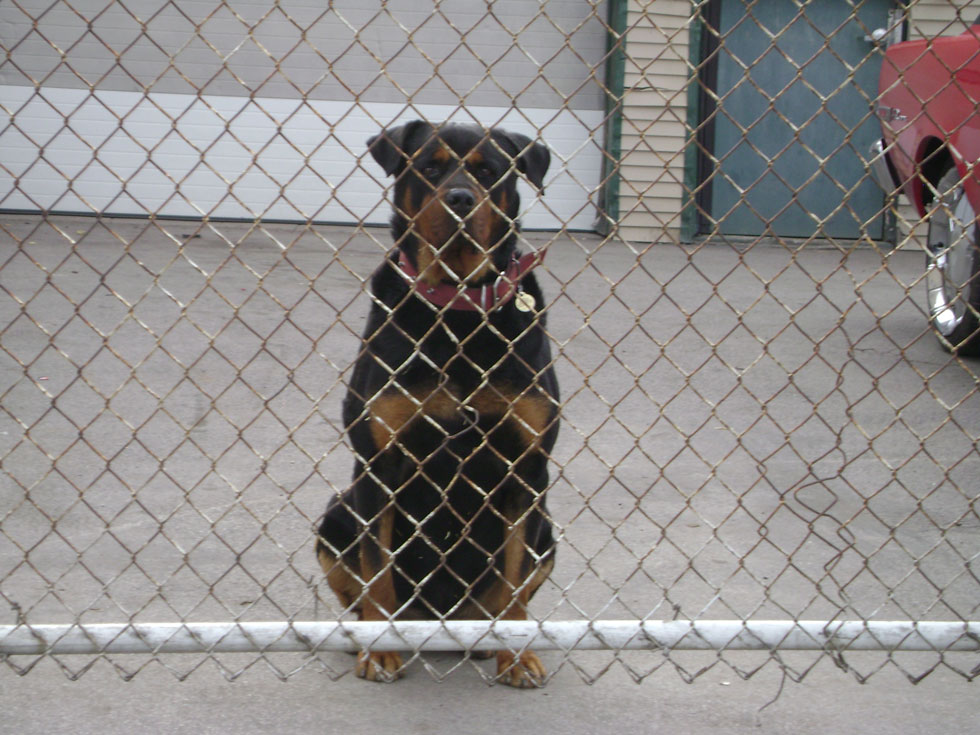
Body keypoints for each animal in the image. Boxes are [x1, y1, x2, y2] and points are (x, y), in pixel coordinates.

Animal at [316, 122, 560, 688]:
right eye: (429, 166)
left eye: (490, 171)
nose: (460, 199)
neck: (459, 309)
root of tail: (438, 620)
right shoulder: (379, 462)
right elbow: (378, 568)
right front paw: (379, 651)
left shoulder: (527, 469)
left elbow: (515, 581)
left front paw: (517, 656)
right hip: (334, 516)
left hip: (548, 531)